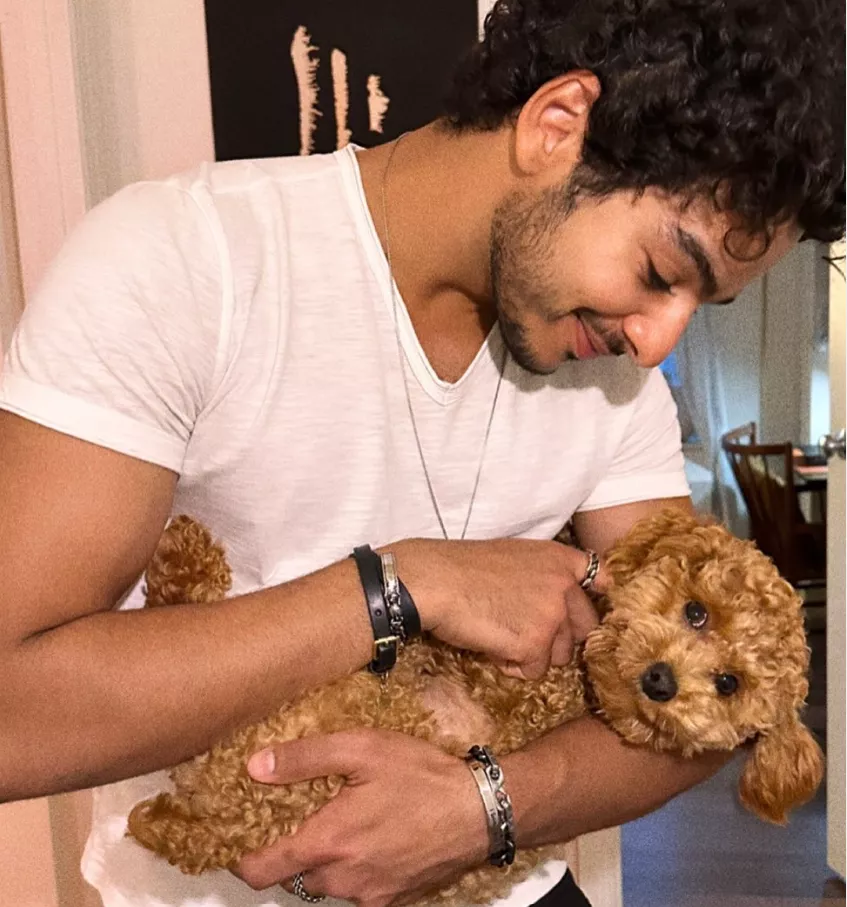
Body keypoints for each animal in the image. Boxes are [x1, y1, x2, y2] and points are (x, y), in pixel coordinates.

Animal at [129, 510, 824, 900]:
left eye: (729, 684)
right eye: (696, 611)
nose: (661, 680)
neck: (586, 687)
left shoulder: (521, 688)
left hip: (318, 719)